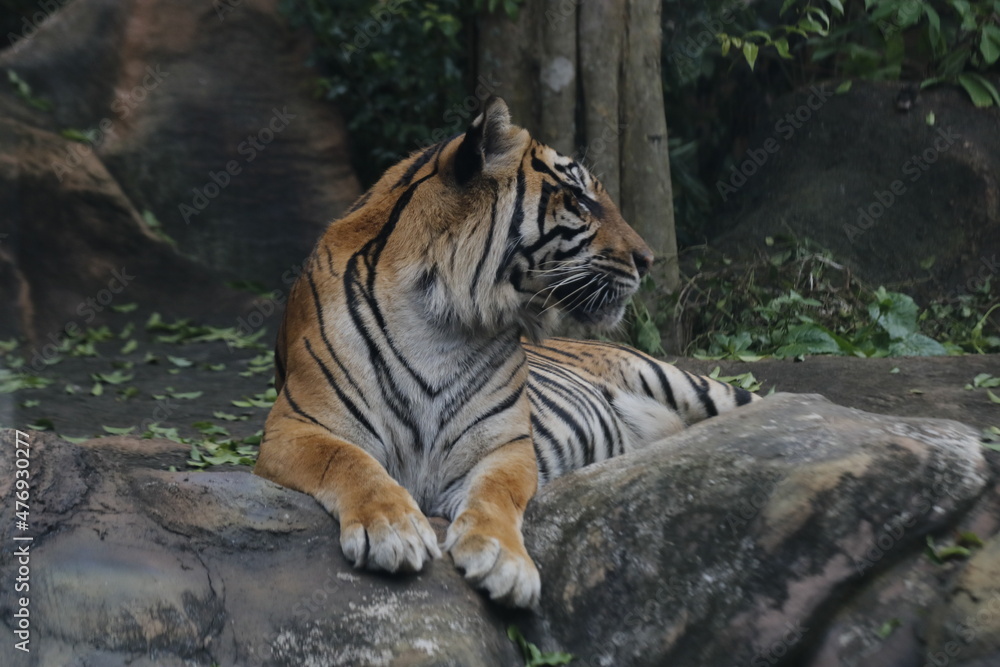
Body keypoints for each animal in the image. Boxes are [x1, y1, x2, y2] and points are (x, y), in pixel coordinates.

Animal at [255, 97, 757, 610]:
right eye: (579, 199)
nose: (649, 260)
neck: (438, 322)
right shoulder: (296, 427)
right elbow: (351, 463)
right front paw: (392, 529)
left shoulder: (505, 444)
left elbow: (497, 493)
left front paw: (503, 561)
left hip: (686, 382)